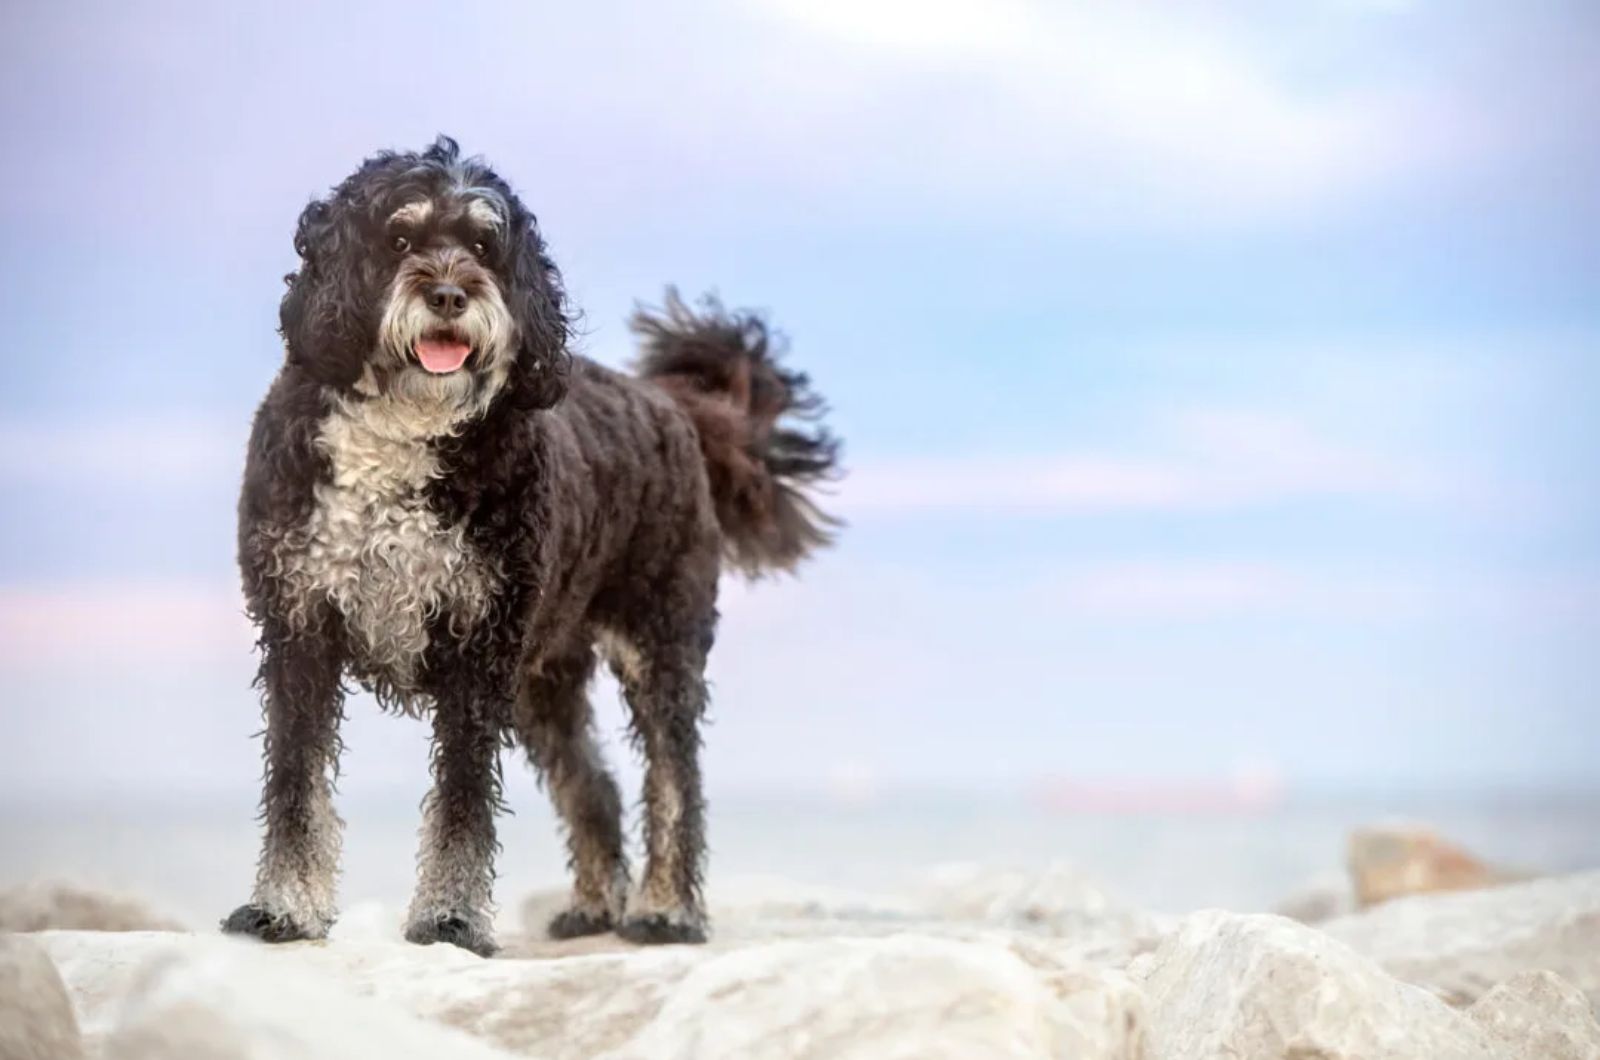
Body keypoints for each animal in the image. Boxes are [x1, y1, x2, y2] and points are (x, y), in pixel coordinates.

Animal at [222, 132, 838, 954]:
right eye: (398, 239)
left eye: (487, 245)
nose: (452, 296)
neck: (402, 432)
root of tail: (673, 405)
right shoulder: (301, 632)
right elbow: (296, 786)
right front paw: (283, 909)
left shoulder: (476, 648)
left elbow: (461, 803)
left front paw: (450, 920)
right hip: (546, 675)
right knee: (596, 785)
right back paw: (593, 905)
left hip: (657, 642)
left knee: (675, 780)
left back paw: (666, 909)